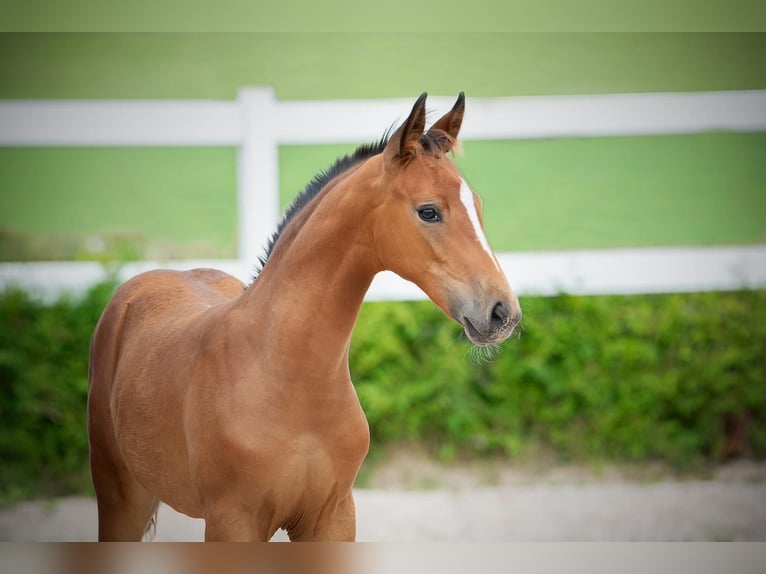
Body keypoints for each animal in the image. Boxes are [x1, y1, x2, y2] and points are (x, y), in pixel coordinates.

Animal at [88, 92, 520, 544]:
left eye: (478, 206)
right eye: (429, 211)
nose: (502, 312)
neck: (288, 382)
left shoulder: (332, 517)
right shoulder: (233, 521)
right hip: (120, 494)